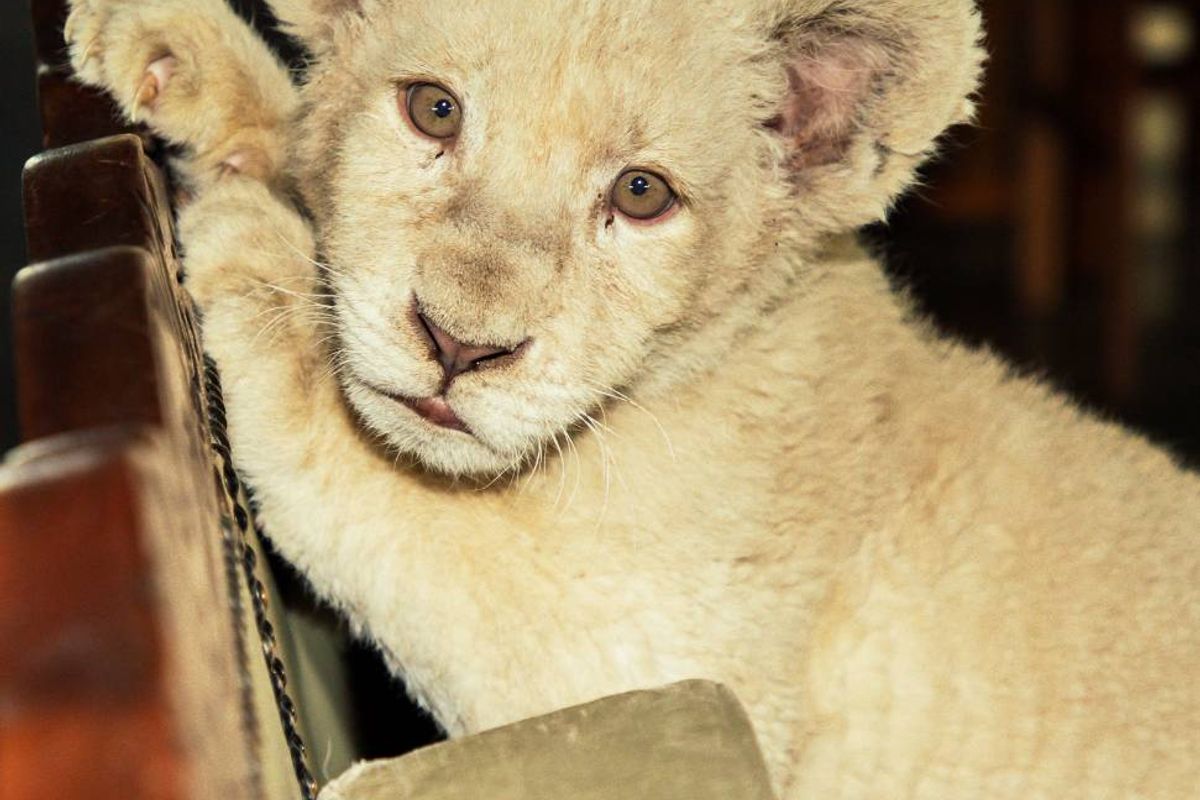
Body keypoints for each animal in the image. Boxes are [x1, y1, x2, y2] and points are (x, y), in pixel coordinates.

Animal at [64, 0, 1200, 796]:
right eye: (434, 108)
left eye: (641, 194)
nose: (457, 344)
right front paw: (185, 58)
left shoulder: (670, 668)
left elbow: (401, 514)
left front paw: (255, 249)